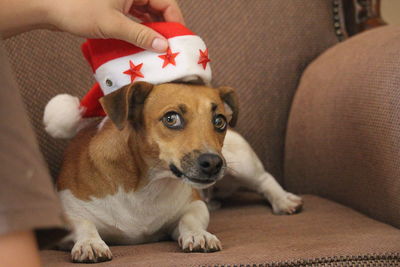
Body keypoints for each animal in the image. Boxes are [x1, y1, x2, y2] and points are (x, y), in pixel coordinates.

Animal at [57, 82, 304, 264]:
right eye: (171, 118)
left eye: (219, 121)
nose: (213, 162)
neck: (147, 185)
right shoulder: (68, 212)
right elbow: (83, 224)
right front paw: (89, 243)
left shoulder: (194, 204)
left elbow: (190, 219)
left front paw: (198, 234)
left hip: (243, 161)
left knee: (264, 179)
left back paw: (283, 200)